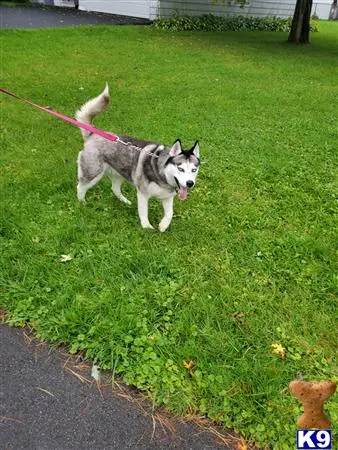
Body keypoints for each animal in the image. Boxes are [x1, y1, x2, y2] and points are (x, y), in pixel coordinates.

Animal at [75, 84, 199, 232]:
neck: (161, 175)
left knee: (114, 189)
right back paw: (82, 203)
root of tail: (93, 134)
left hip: (118, 174)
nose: (190, 183)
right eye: (180, 169)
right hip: (93, 173)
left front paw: (163, 226)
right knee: (80, 187)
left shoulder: (167, 198)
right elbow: (144, 212)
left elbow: (169, 214)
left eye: (194, 170)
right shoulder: (143, 194)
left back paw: (125, 201)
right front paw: (147, 227)